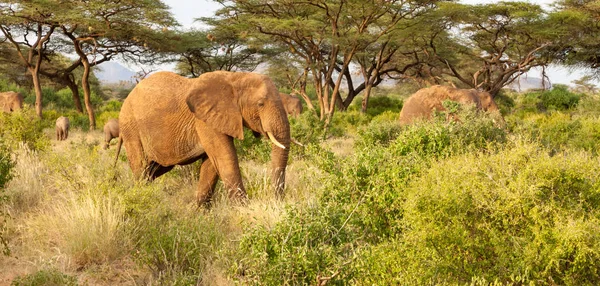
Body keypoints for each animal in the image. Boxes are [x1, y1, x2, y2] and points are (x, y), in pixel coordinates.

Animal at [116, 71, 292, 206]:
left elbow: (212, 164)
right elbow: (224, 157)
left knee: (153, 170)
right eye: (261, 104)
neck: (235, 78)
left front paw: (199, 213)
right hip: (130, 128)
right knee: (141, 167)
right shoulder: (204, 121)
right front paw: (243, 210)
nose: (277, 201)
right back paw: (141, 199)